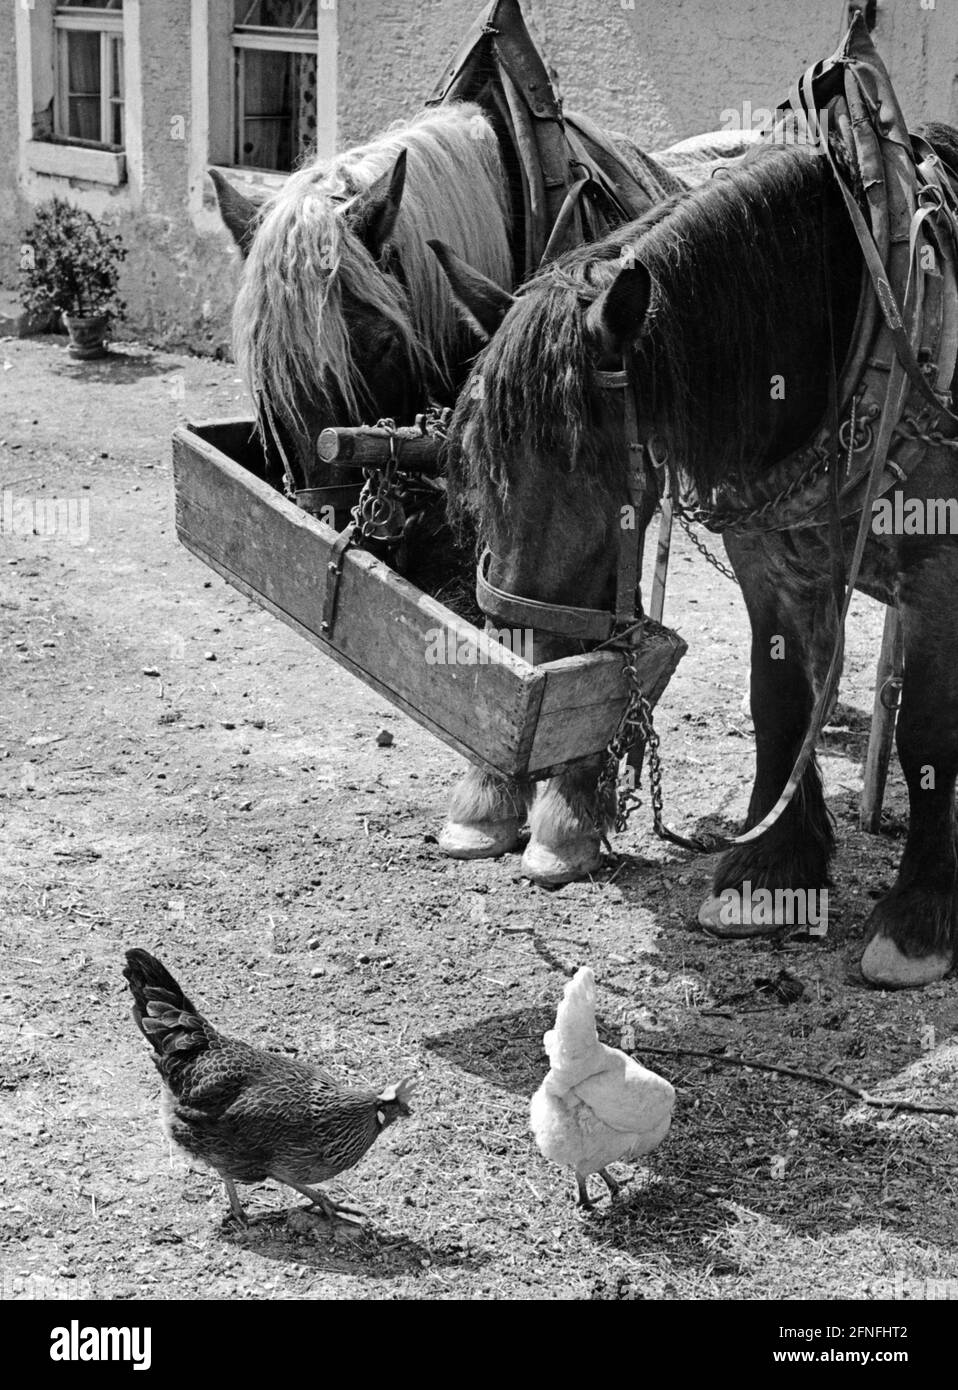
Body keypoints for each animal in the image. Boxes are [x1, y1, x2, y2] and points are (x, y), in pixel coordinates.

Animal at [437, 125, 958, 991]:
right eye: (476, 451)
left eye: (582, 460)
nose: (515, 669)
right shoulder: (768, 564)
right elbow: (778, 702)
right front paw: (767, 876)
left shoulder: (940, 581)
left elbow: (924, 737)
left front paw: (919, 918)